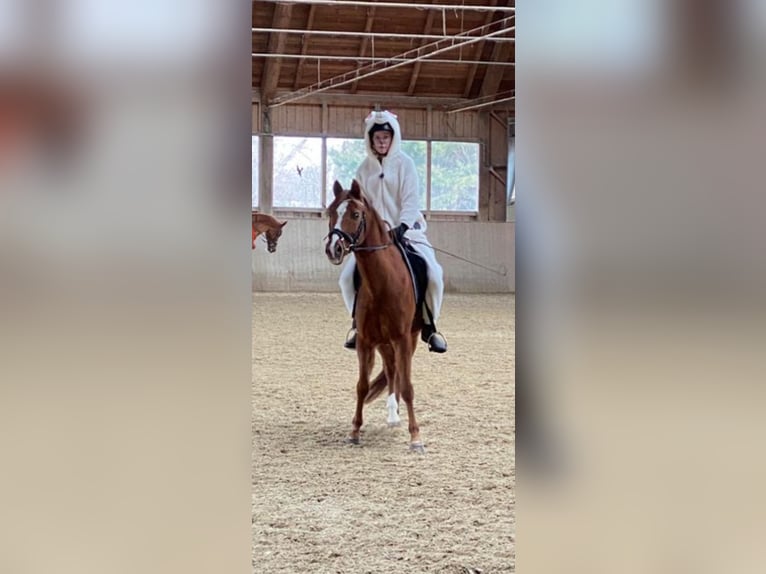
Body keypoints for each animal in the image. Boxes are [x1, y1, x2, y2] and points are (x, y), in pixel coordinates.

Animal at [324, 179, 426, 453]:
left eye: (355, 214)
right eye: (330, 212)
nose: (334, 248)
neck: (381, 284)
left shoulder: (402, 338)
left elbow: (408, 386)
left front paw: (415, 438)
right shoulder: (365, 341)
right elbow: (362, 386)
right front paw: (354, 431)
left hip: (408, 339)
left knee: (398, 372)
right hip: (382, 342)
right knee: (390, 370)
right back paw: (392, 414)